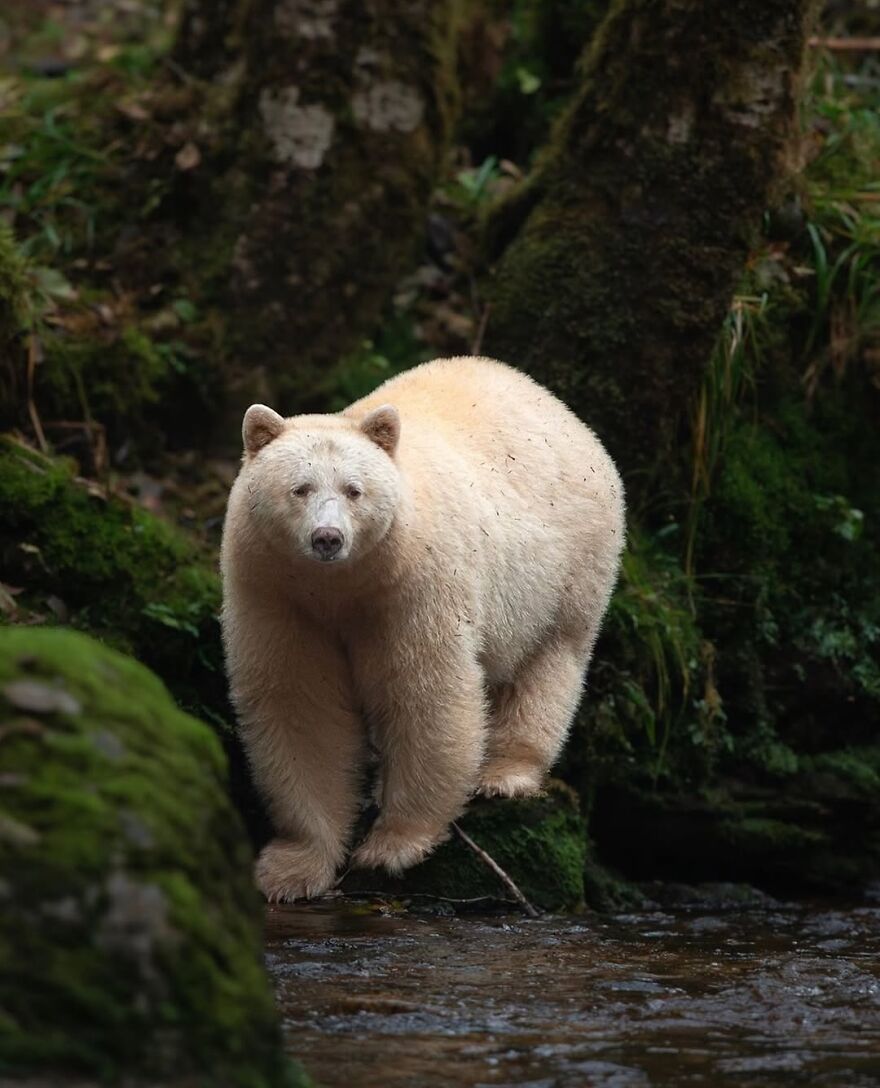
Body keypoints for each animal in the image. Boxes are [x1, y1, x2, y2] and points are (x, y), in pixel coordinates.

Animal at [220, 356, 625, 901]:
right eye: (299, 488)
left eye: (354, 490)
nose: (328, 538)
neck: (340, 585)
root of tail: (554, 404)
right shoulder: (275, 591)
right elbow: (300, 702)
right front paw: (292, 867)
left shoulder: (414, 584)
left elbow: (425, 692)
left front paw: (393, 844)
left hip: (570, 561)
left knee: (552, 658)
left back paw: (506, 772)